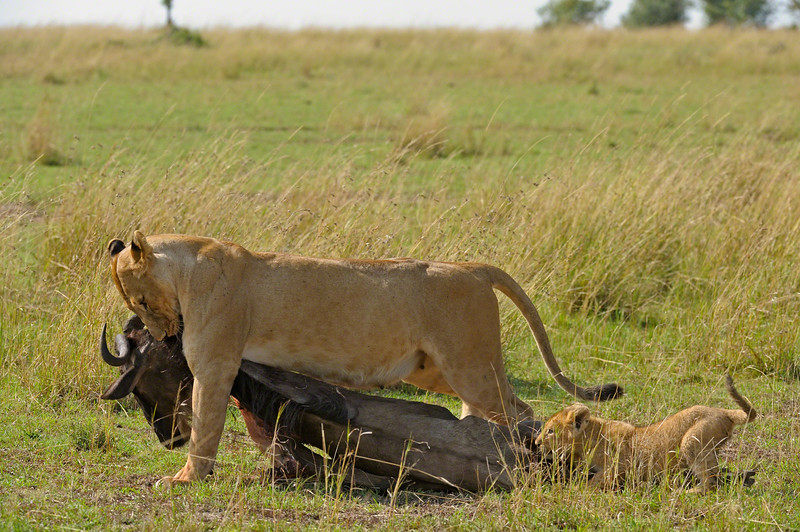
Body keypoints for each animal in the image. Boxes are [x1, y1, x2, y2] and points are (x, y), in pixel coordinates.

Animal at [107, 231, 622, 485]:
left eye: (139, 301)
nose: (163, 335)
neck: (188, 266)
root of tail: (471, 267)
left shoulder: (215, 365)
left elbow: (205, 426)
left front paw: (184, 478)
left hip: (470, 363)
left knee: (520, 411)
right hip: (437, 368)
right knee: (488, 410)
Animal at [535, 375, 756, 493]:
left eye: (550, 431)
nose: (536, 443)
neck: (588, 438)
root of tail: (723, 411)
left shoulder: (621, 465)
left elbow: (595, 481)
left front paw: (573, 489)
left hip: (691, 441)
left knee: (710, 480)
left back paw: (688, 491)